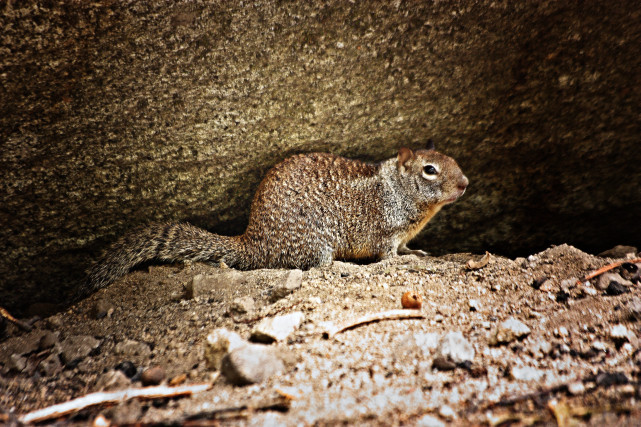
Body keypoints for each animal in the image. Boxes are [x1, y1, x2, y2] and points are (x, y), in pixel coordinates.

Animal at [82, 142, 468, 296]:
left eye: (452, 159)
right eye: (430, 170)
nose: (465, 183)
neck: (396, 188)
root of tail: (252, 242)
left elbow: (404, 250)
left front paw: (416, 253)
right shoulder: (385, 231)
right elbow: (387, 254)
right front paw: (400, 262)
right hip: (316, 239)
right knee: (317, 266)